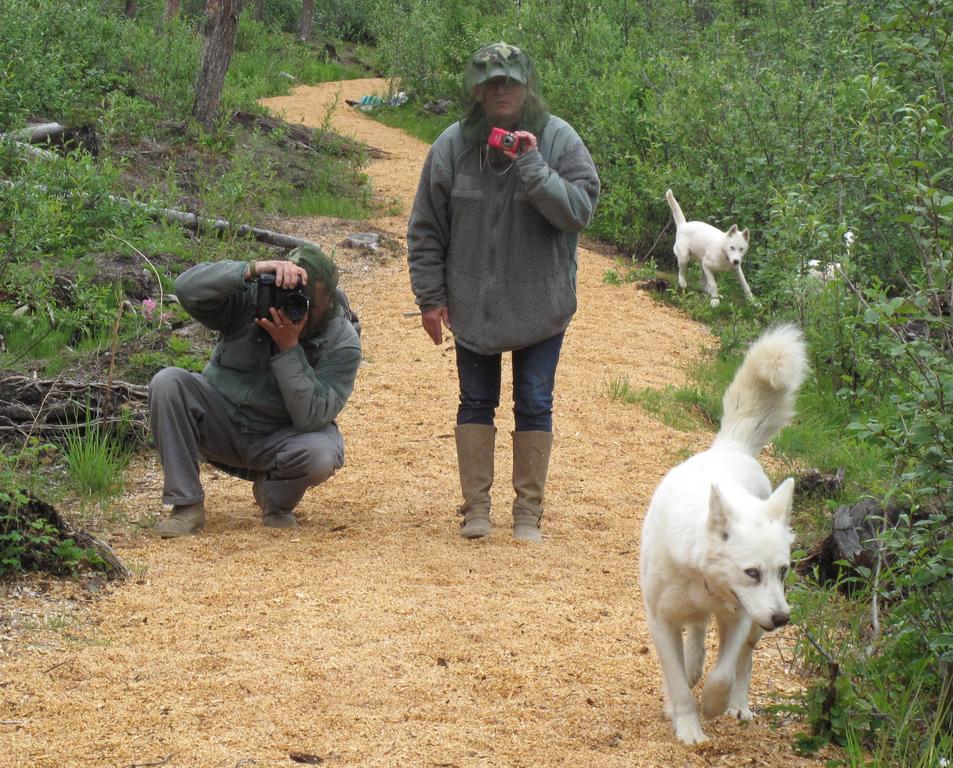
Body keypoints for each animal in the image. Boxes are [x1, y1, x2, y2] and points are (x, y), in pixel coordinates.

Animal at [636, 324, 808, 744]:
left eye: (783, 570)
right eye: (752, 572)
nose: (783, 619)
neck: (701, 574)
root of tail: (732, 447)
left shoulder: (743, 617)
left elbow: (724, 673)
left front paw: (713, 706)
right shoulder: (660, 621)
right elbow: (678, 681)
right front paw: (687, 726)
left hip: (755, 625)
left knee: (743, 661)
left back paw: (738, 706)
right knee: (696, 637)